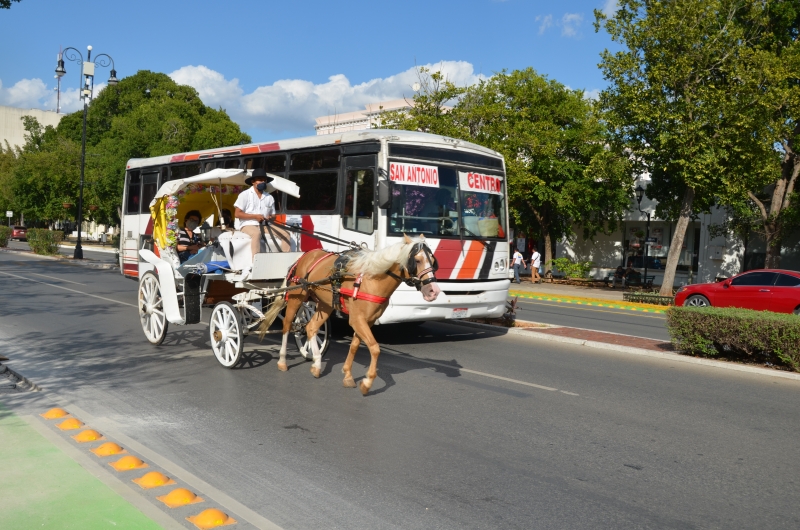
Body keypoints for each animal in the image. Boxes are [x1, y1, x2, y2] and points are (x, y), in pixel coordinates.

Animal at [260, 234, 440, 392]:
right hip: (297, 296)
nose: (433, 291)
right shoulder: (357, 320)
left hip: (326, 304)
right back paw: (282, 360)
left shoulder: (367, 320)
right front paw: (367, 382)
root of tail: (306, 255)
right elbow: (375, 348)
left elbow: (354, 346)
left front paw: (347, 375)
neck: (370, 279)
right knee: (287, 324)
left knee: (311, 327)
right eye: (417, 260)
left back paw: (317, 363)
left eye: (432, 261)